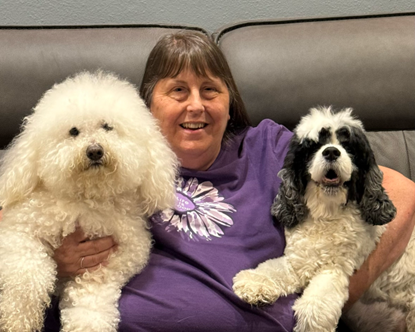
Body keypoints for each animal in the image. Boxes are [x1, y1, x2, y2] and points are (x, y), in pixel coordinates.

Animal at [0, 71, 177, 330]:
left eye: (108, 126)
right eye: (74, 131)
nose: (95, 151)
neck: (88, 199)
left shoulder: (102, 269)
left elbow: (89, 307)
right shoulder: (17, 234)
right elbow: (28, 279)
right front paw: (17, 321)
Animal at [232, 107, 414, 332]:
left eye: (347, 145)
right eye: (315, 145)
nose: (331, 152)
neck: (325, 214)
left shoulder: (336, 270)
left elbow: (314, 309)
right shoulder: (299, 261)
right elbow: (273, 269)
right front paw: (253, 282)